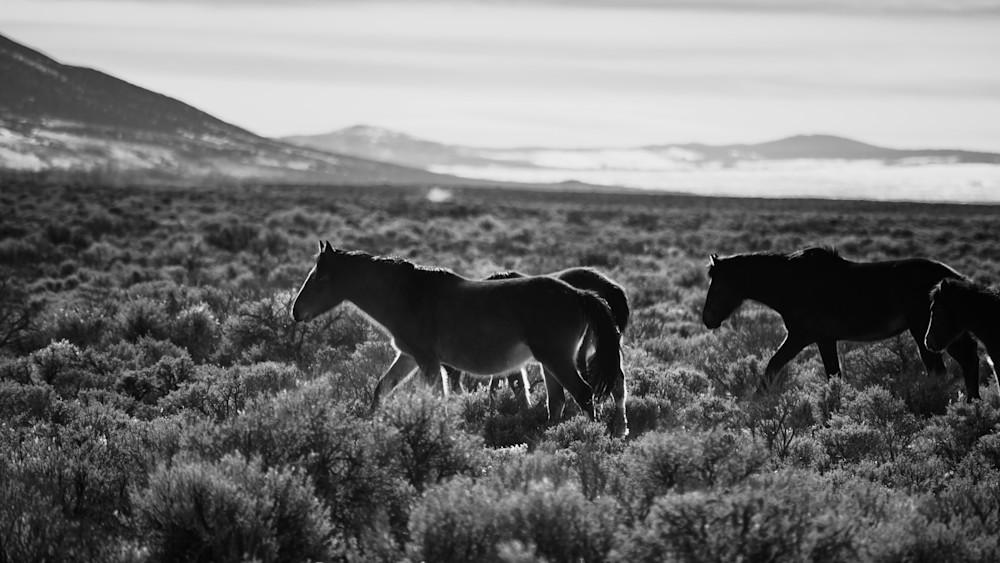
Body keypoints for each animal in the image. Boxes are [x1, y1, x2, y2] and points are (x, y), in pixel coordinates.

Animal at [702, 247, 981, 399]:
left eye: (718, 285)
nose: (707, 319)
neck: (793, 283)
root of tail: (953, 278)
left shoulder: (801, 337)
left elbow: (773, 366)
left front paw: (757, 403)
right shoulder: (824, 340)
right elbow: (832, 375)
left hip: (927, 333)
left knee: (940, 369)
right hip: (942, 335)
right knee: (967, 359)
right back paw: (971, 404)